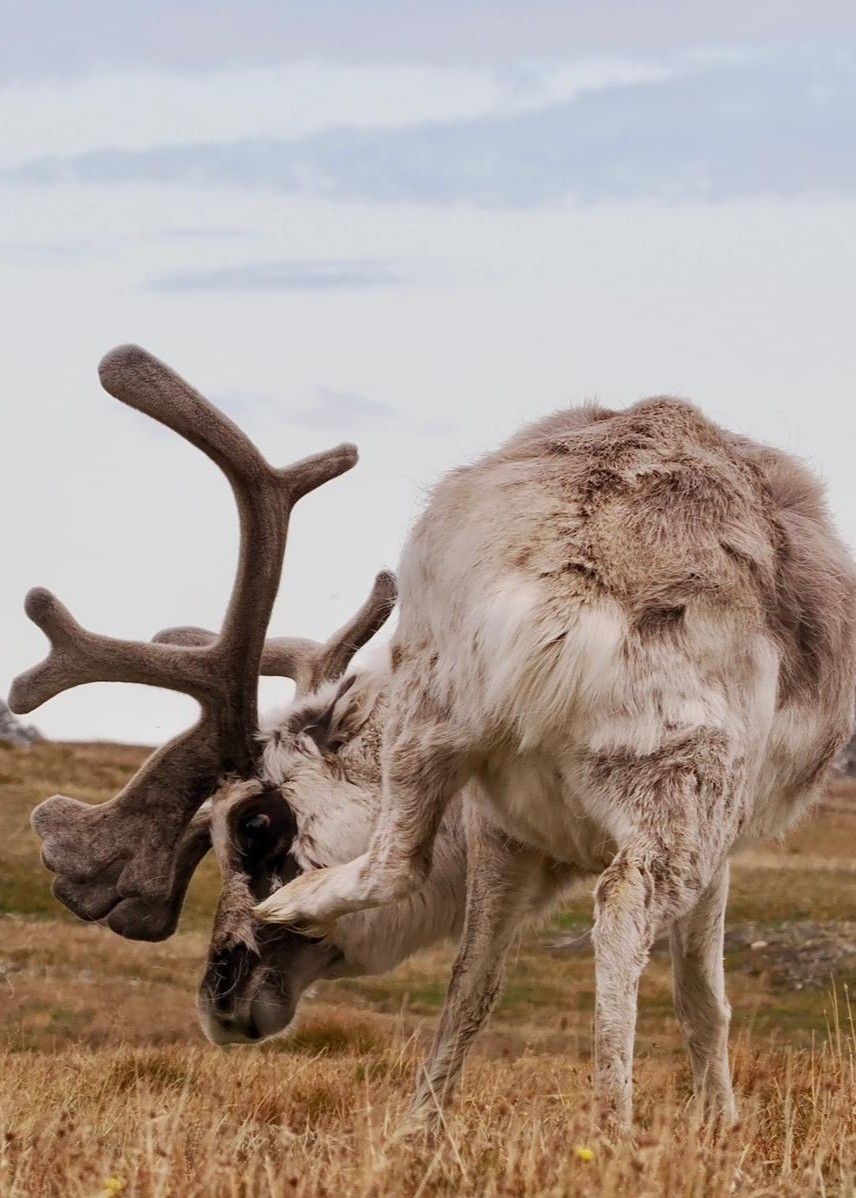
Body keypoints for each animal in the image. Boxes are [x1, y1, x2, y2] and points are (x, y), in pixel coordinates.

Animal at [11, 346, 856, 1138]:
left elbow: (473, 982)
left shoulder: (503, 836)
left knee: (401, 865)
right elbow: (701, 998)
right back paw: (610, 1124)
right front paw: (719, 1123)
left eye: (253, 824)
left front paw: (424, 1126)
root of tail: (568, 571)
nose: (219, 997)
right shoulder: (699, 847)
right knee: (616, 908)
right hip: (681, 784)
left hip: (437, 713)